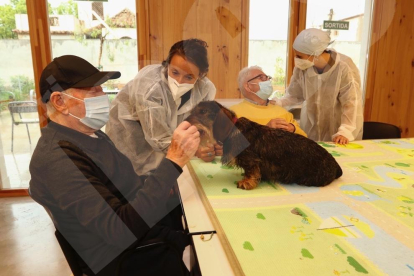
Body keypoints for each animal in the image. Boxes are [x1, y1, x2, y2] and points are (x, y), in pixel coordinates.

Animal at [188, 101, 342, 190]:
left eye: (202, 112)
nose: (186, 122)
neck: (234, 129)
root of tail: (336, 166)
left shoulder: (251, 160)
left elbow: (252, 171)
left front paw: (247, 182)